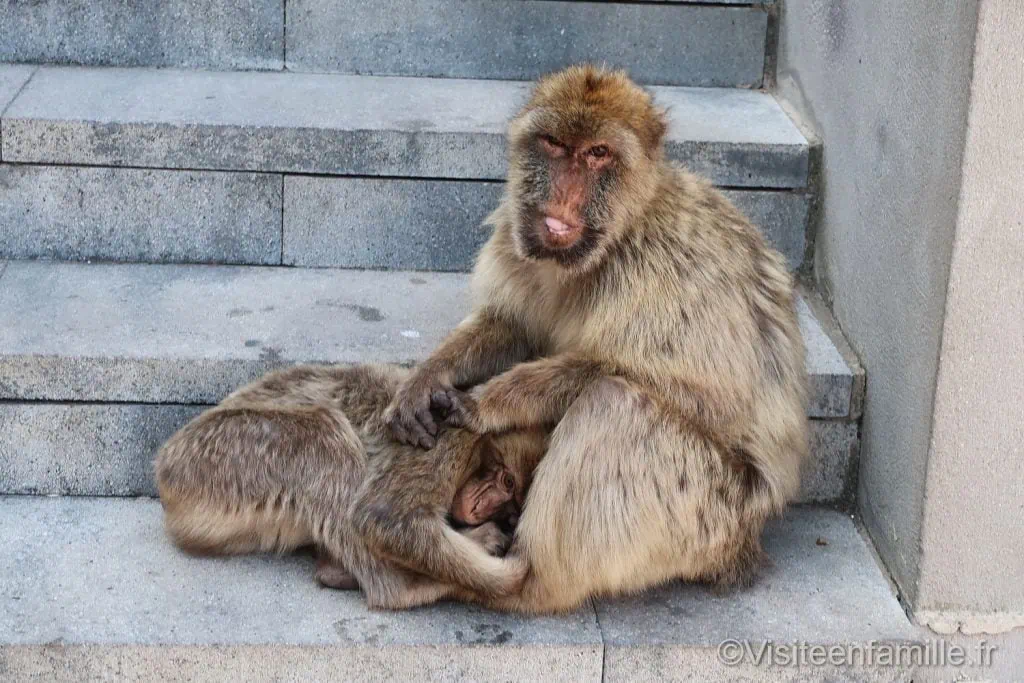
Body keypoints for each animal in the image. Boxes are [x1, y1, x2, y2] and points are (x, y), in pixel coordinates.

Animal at [154, 363, 547, 609]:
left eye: (512, 507)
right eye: (505, 481)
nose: (483, 507)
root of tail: (165, 471)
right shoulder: (449, 444)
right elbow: (385, 517)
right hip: (219, 455)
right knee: (324, 436)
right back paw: (402, 587)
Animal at [380, 65, 810, 614]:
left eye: (597, 153)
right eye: (555, 144)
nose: (564, 192)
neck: (611, 244)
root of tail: (746, 545)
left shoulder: (666, 264)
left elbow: (676, 386)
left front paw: (485, 403)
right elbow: (510, 326)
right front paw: (426, 378)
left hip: (706, 516)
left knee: (615, 401)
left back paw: (519, 580)